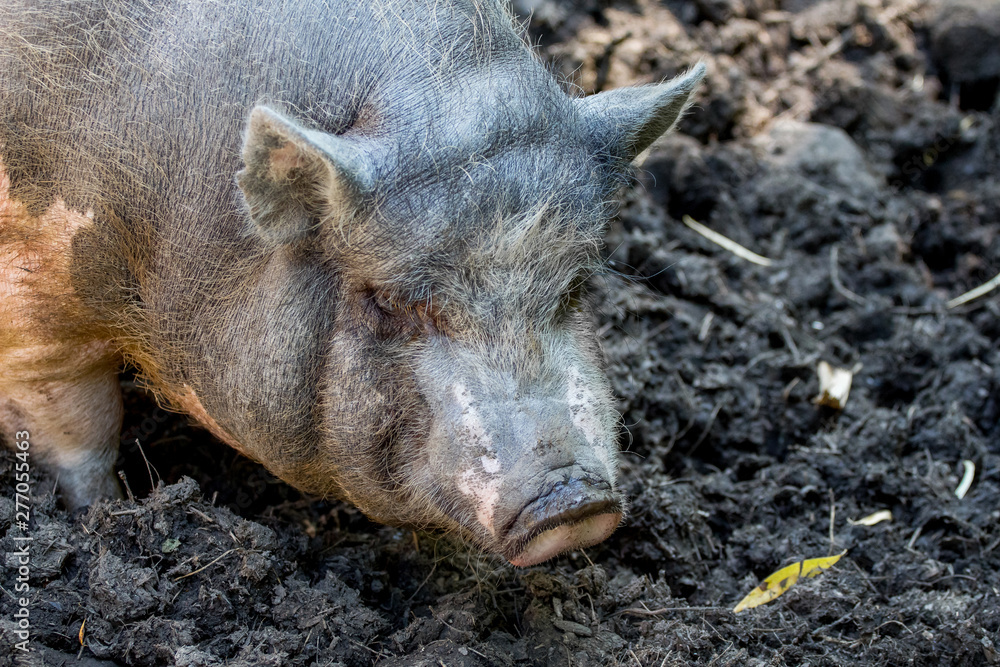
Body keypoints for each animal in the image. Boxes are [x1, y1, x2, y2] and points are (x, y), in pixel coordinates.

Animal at [0, 0, 703, 566]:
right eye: (390, 300)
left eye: (575, 283)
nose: (574, 505)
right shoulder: (36, 290)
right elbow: (79, 429)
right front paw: (97, 515)